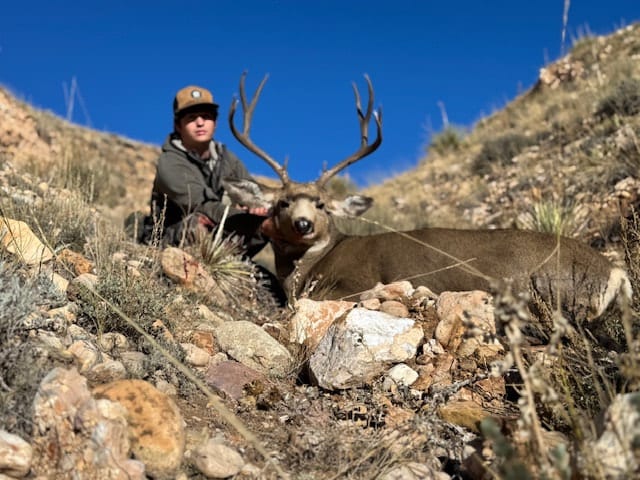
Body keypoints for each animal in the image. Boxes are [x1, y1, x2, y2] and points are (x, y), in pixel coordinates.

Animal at [223, 72, 632, 321]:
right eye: (282, 202)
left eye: (322, 204)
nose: (303, 223)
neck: (311, 266)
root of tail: (615, 272)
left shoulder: (350, 284)